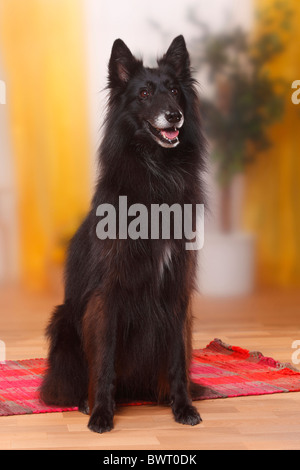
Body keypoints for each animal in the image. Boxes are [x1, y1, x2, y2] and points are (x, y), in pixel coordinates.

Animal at [40, 35, 206, 434]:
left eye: (174, 91)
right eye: (144, 93)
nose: (174, 115)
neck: (157, 174)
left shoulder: (177, 289)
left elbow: (177, 359)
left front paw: (183, 407)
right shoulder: (107, 294)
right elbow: (104, 360)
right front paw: (101, 412)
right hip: (64, 321)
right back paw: (86, 402)